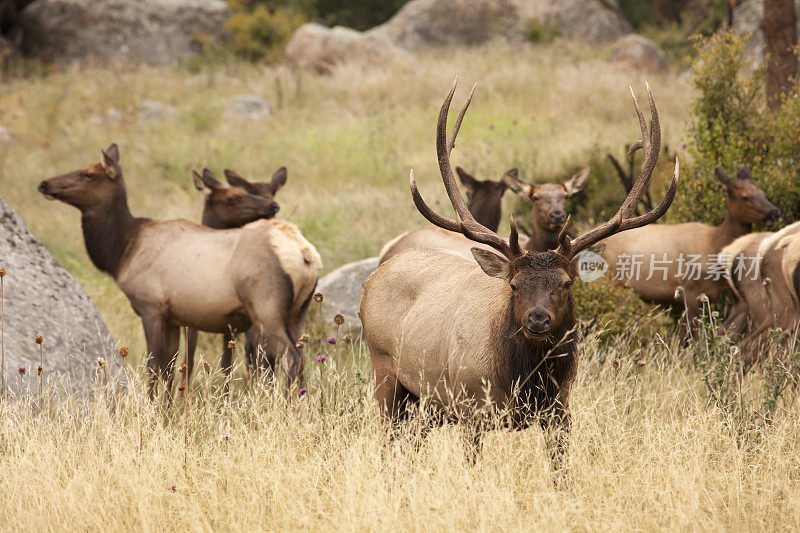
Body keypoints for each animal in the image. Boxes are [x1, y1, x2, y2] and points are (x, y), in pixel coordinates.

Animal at [36, 143, 320, 396]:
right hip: (297, 312)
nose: (44, 184)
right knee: (298, 357)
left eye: (88, 174)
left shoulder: (151, 308)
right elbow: (170, 370)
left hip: (266, 308)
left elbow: (154, 367)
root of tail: (305, 254)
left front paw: (152, 410)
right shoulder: (174, 318)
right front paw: (167, 411)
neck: (122, 252)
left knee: (289, 358)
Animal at [360, 79, 680, 470]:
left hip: (425, 403)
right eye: (513, 285)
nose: (538, 319)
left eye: (567, 283)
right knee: (388, 442)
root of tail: (374, 277)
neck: (523, 381)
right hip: (386, 372)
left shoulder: (561, 409)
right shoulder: (471, 408)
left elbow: (560, 471)